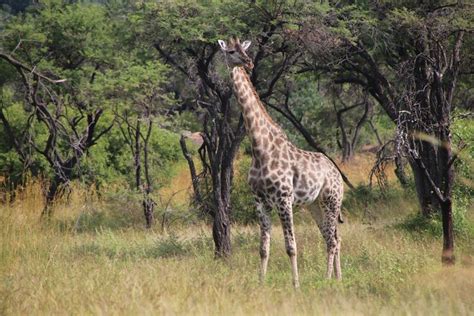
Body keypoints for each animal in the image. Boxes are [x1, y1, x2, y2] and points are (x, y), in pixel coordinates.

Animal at [218, 38, 344, 288]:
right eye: (231, 51)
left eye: (245, 49)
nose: (249, 62)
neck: (260, 148)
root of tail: (337, 172)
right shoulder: (260, 201)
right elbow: (263, 248)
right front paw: (261, 282)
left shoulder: (284, 199)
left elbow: (291, 247)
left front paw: (296, 285)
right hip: (314, 205)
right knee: (331, 236)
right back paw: (337, 277)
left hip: (332, 201)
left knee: (334, 239)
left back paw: (327, 279)